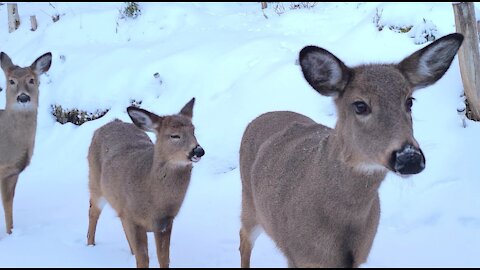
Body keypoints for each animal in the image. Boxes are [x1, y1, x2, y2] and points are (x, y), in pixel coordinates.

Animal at [0, 51, 52, 235]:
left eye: (31, 80)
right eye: (11, 81)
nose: (23, 97)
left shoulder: (12, 173)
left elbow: (8, 206)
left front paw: (10, 233)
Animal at [87, 98, 205, 268]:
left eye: (193, 130)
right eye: (174, 135)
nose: (198, 151)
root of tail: (108, 124)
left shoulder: (165, 222)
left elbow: (164, 258)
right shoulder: (134, 219)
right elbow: (143, 259)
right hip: (95, 182)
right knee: (93, 212)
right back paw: (90, 245)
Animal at [240, 33, 464, 268]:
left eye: (409, 101)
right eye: (360, 105)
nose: (409, 158)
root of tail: (260, 117)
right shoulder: (298, 256)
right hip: (250, 204)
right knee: (243, 238)